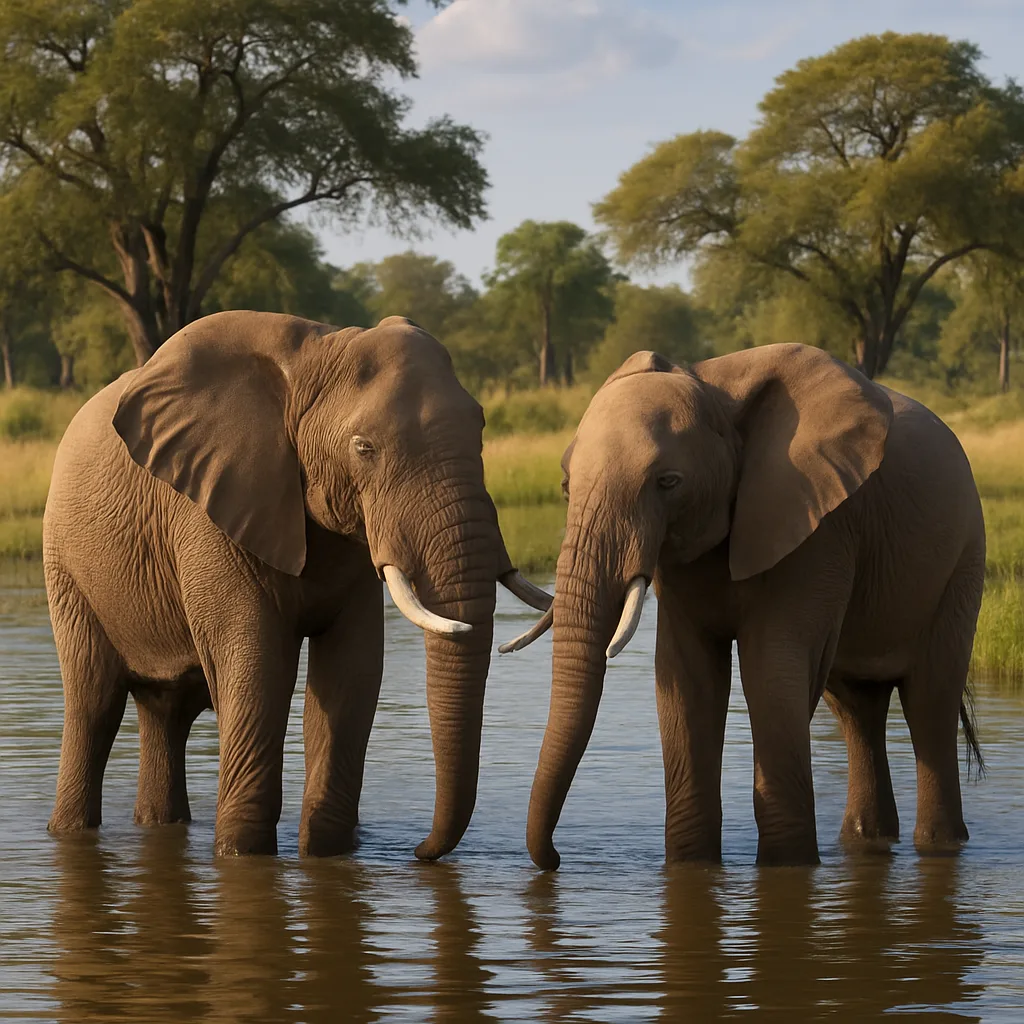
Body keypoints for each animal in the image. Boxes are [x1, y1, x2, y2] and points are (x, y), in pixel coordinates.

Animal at [43, 310, 550, 858]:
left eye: (480, 428)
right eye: (364, 449)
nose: (418, 851)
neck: (319, 352)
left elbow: (353, 670)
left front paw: (328, 853)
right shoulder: (209, 513)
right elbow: (259, 665)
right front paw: (242, 855)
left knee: (166, 713)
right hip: (65, 565)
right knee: (94, 702)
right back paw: (69, 829)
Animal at [506, 344, 984, 869]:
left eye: (668, 482)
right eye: (566, 486)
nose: (554, 858)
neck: (712, 391)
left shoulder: (817, 526)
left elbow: (771, 671)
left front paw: (787, 867)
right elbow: (686, 677)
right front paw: (691, 867)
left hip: (963, 560)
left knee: (930, 701)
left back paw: (939, 845)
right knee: (857, 710)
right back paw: (866, 840)